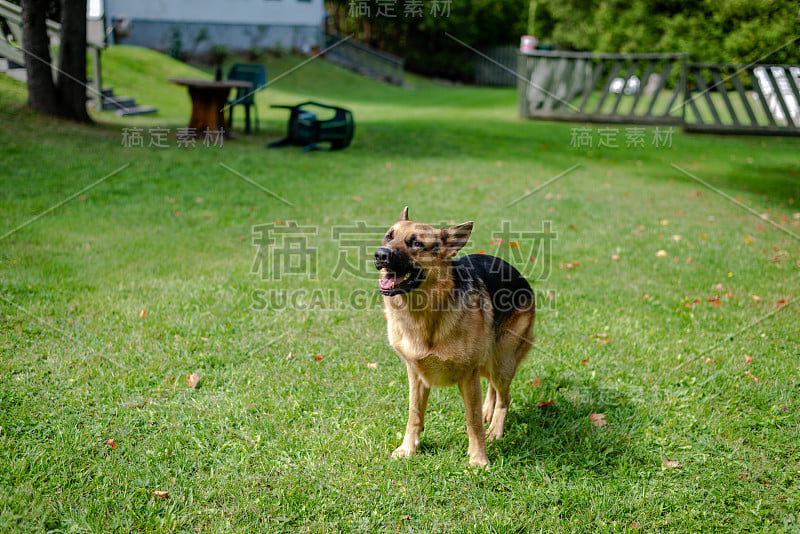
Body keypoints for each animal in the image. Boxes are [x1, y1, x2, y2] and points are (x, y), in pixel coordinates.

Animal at [376, 207, 536, 466]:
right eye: (389, 236)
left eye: (417, 243)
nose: (380, 255)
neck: (425, 313)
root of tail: (517, 273)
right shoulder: (416, 375)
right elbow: (414, 415)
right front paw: (408, 449)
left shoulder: (467, 376)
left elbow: (472, 422)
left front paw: (479, 460)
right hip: (490, 364)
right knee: (492, 389)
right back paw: (488, 412)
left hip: (501, 364)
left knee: (504, 397)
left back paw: (496, 429)